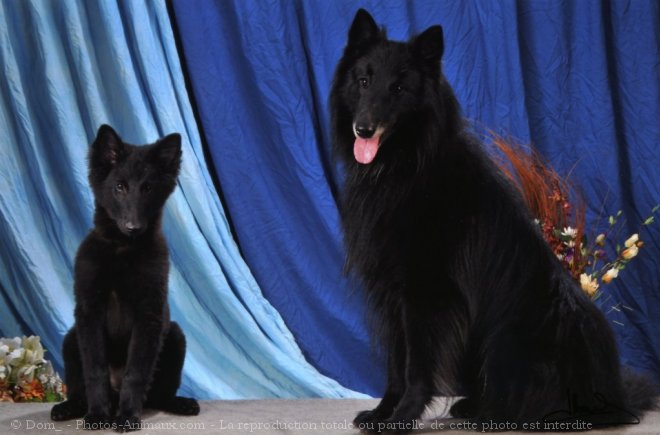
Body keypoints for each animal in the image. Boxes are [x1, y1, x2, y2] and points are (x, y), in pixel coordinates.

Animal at [51, 126, 199, 432]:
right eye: (119, 187)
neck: (122, 249)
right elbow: (95, 370)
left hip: (175, 337)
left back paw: (180, 403)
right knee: (79, 390)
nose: (133, 227)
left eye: (148, 188)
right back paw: (68, 407)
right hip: (71, 339)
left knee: (160, 395)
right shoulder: (89, 311)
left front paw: (128, 416)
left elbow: (136, 372)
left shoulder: (149, 314)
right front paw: (98, 415)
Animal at [330, 8, 656, 430]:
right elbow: (396, 366)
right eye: (364, 81)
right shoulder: (391, 297)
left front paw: (403, 417)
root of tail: (612, 395)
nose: (364, 128)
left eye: (399, 89)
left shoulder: (426, 295)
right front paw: (383, 412)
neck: (406, 166)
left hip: (509, 336)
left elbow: (416, 367)